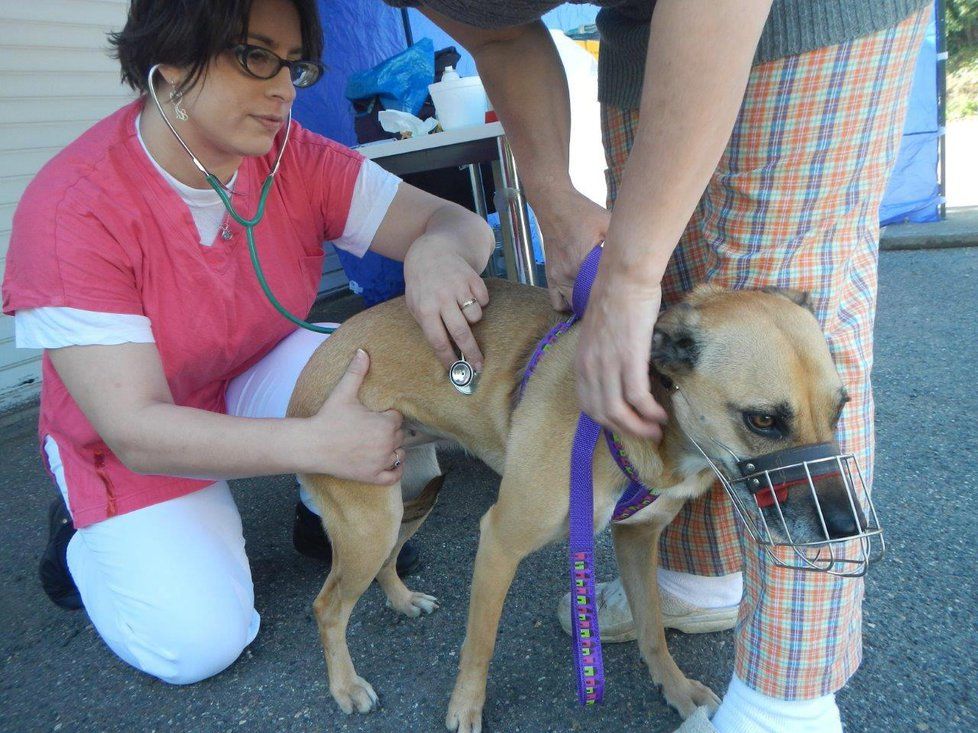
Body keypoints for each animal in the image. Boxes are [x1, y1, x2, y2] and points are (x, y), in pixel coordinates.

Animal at [286, 278, 856, 728]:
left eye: (840, 409)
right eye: (763, 420)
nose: (846, 524)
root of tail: (319, 357)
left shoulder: (636, 537)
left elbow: (653, 629)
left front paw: (674, 688)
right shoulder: (499, 540)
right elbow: (480, 642)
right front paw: (465, 708)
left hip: (412, 490)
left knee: (383, 562)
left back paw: (402, 599)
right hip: (371, 521)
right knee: (327, 606)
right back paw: (346, 686)